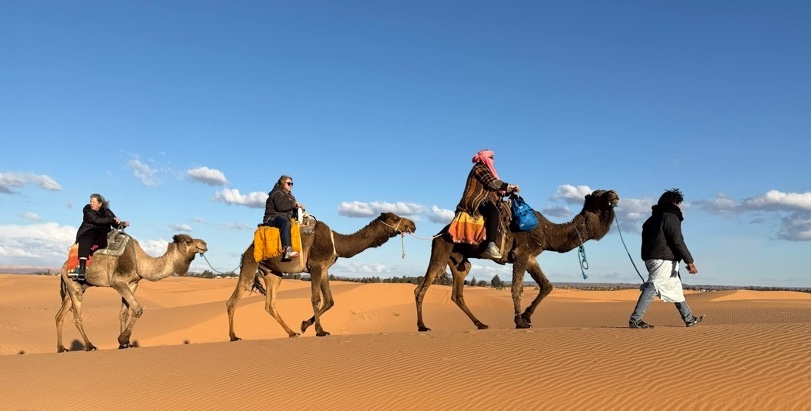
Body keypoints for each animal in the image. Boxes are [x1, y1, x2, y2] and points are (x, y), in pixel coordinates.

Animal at [55, 233, 208, 352]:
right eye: (188, 241)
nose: (204, 244)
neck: (139, 261)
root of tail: (63, 266)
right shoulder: (118, 282)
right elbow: (137, 308)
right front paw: (123, 339)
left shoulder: (133, 283)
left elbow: (123, 313)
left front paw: (124, 345)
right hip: (74, 285)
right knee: (77, 316)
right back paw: (89, 346)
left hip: (76, 287)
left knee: (60, 315)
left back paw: (61, 348)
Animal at [226, 212, 416, 340]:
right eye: (394, 218)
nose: (412, 224)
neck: (336, 243)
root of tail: (246, 250)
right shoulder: (316, 266)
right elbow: (316, 298)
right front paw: (320, 331)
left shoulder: (324, 269)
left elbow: (330, 301)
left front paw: (304, 325)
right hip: (251, 264)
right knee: (233, 300)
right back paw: (234, 336)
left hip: (273, 274)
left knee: (270, 304)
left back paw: (292, 332)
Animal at [415, 189, 620, 331]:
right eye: (598, 195)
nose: (614, 194)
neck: (547, 232)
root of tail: (439, 233)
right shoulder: (520, 254)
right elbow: (516, 289)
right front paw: (520, 321)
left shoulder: (531, 258)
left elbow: (547, 286)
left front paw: (527, 316)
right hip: (441, 251)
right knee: (422, 287)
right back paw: (423, 326)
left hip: (459, 260)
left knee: (457, 292)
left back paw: (481, 324)